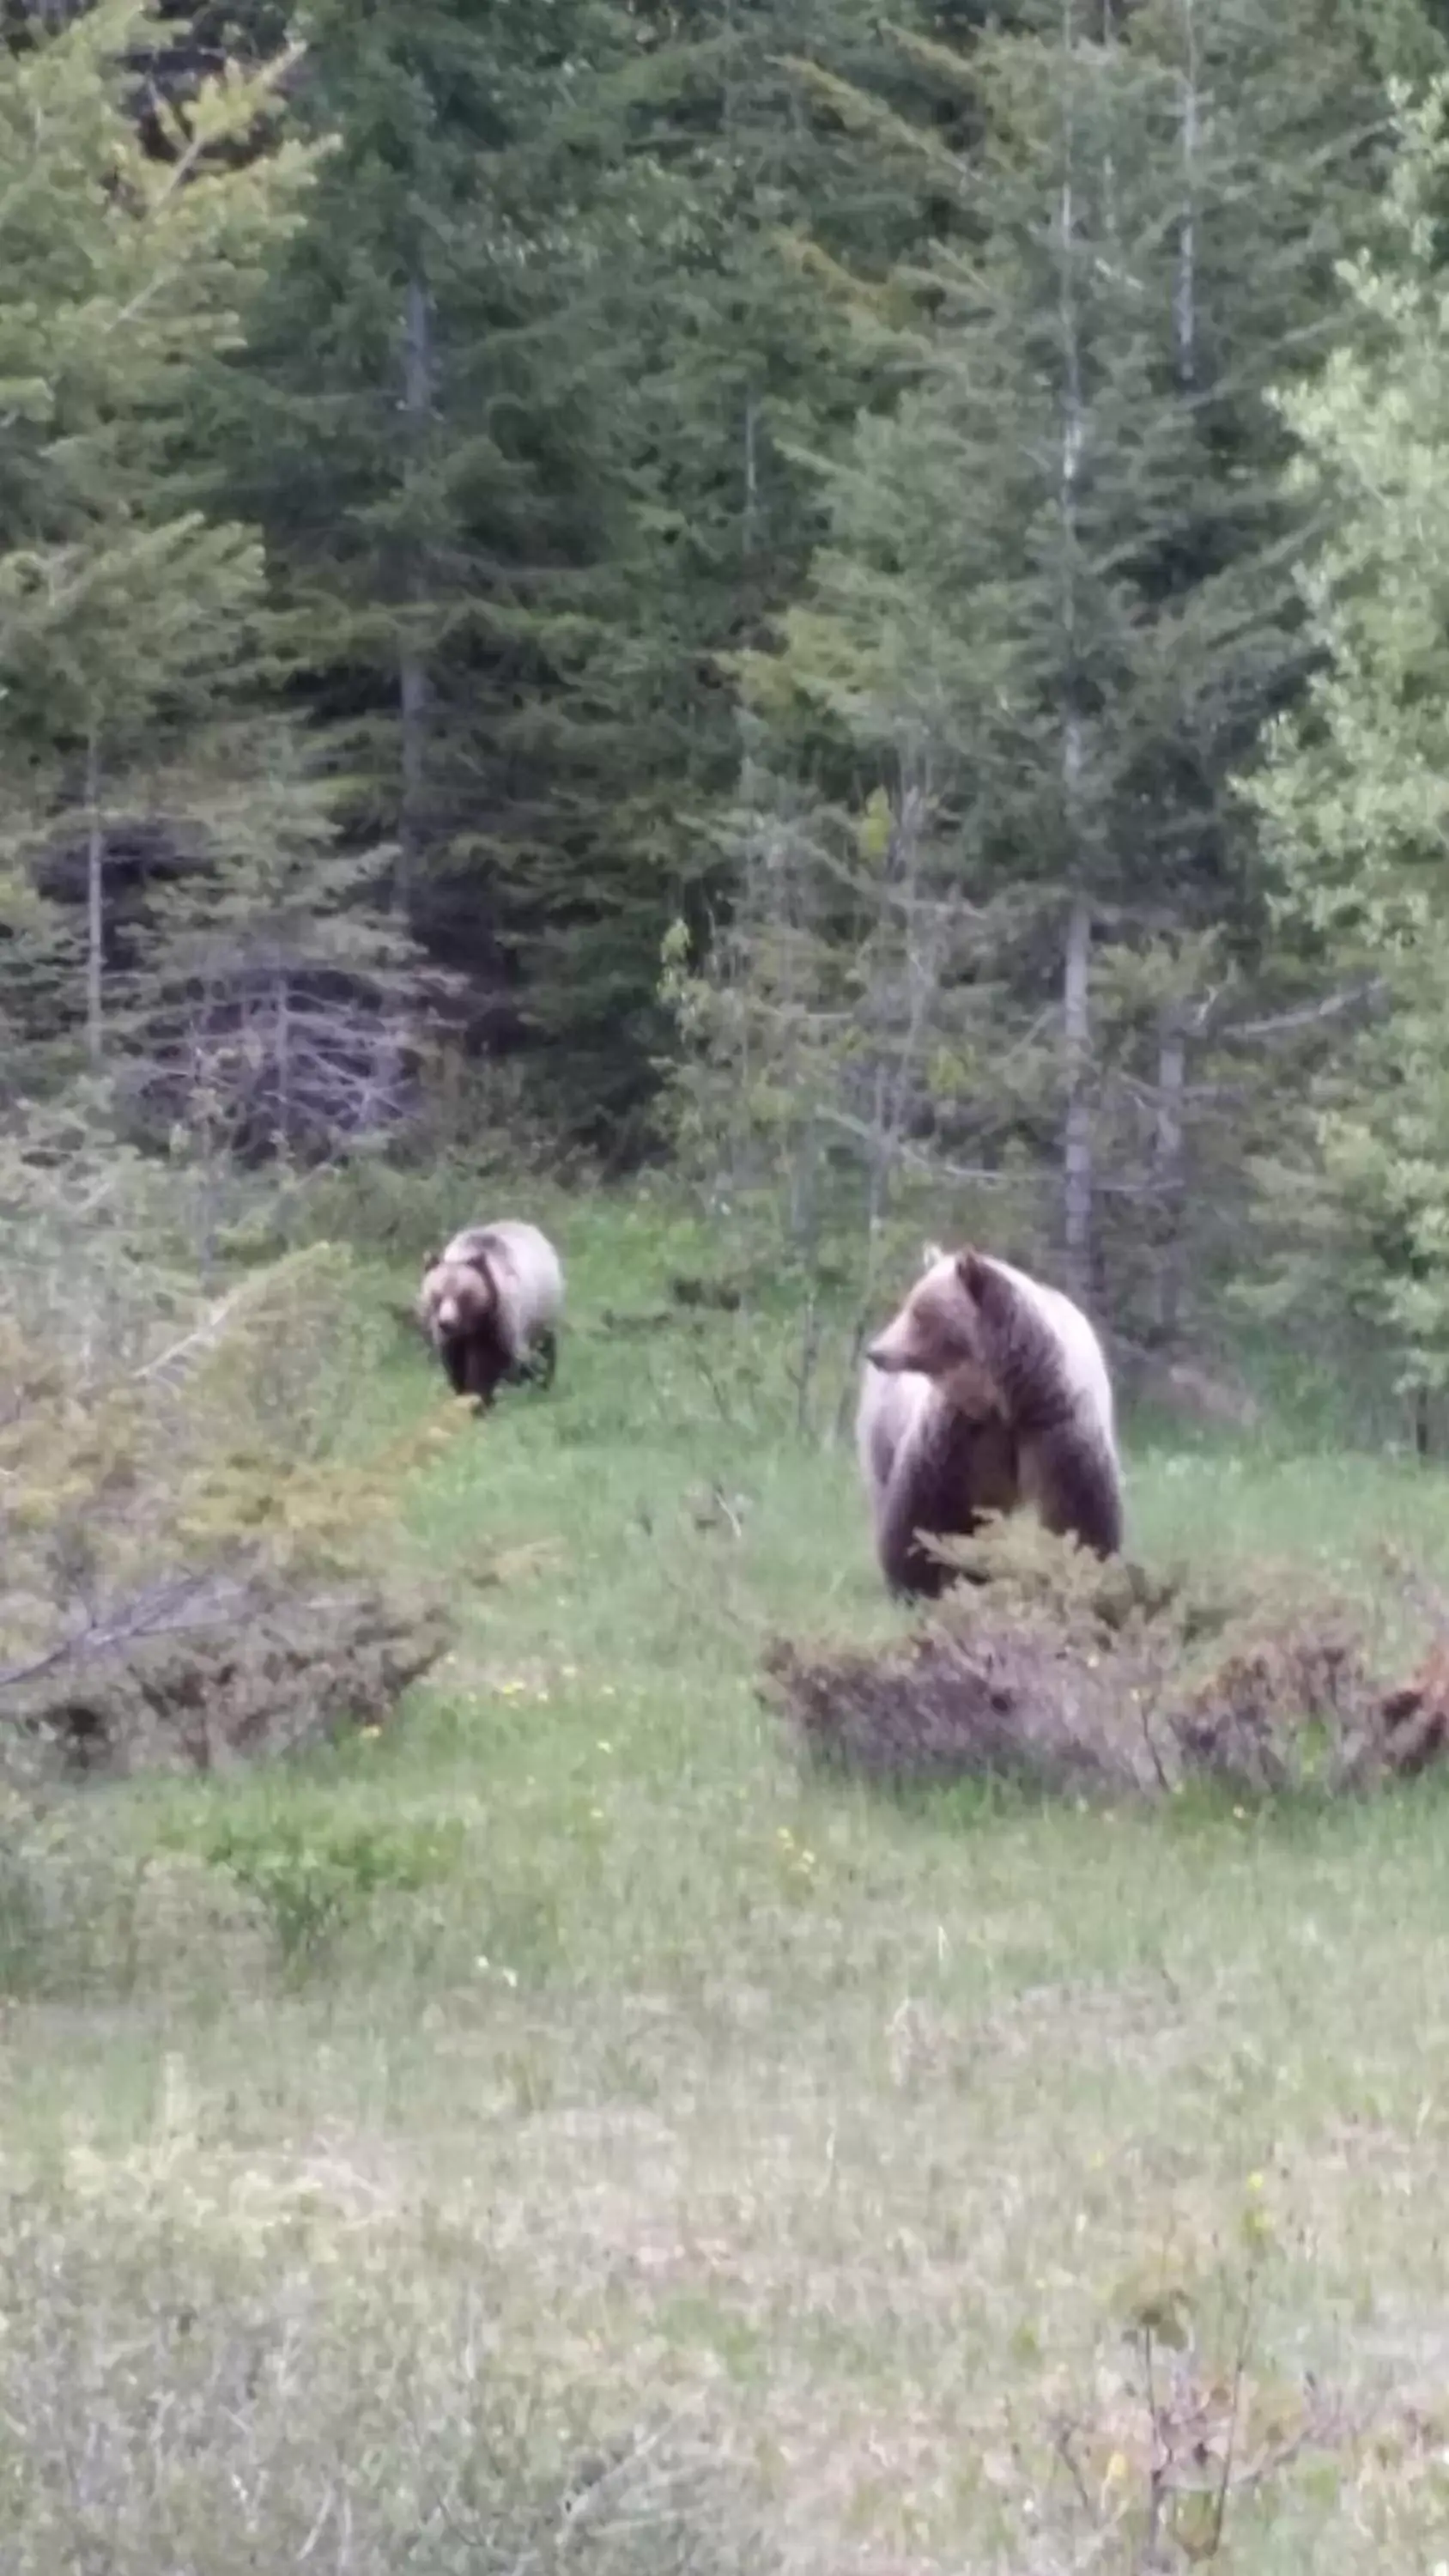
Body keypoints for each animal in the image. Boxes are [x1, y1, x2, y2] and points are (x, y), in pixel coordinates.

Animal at [416, 1221, 563, 1412]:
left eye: (463, 1296)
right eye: (437, 1296)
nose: (447, 1323)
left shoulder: (499, 1314)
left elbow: (494, 1359)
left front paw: (483, 1397)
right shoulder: (450, 1335)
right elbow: (454, 1358)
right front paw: (465, 1394)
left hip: (542, 1308)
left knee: (543, 1345)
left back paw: (542, 1379)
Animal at [854, 1242, 1127, 1587]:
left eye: (919, 1312)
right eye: (910, 1305)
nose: (876, 1352)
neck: (1006, 1399)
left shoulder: (1057, 1423)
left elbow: (1079, 1507)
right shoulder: (959, 1433)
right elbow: (928, 1508)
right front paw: (916, 1578)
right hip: (884, 1429)